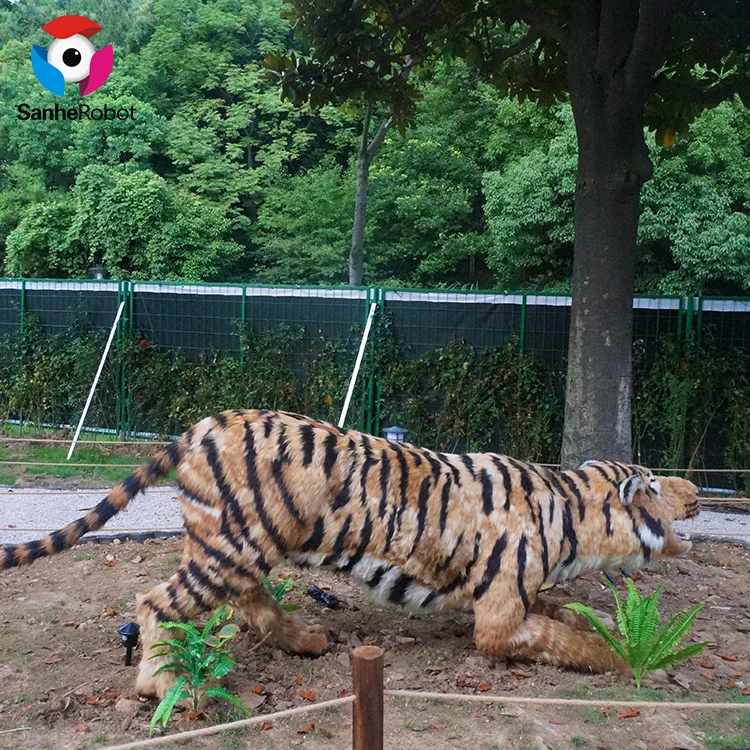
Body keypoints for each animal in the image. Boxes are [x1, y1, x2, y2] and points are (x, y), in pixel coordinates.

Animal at [0, 409, 700, 698]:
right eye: (657, 483)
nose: (696, 492)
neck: (572, 515)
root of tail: (203, 424)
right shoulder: (499, 620)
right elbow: (570, 640)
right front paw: (637, 663)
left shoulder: (528, 593)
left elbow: (575, 617)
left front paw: (622, 630)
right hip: (231, 547)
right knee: (156, 602)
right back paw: (165, 684)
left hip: (241, 547)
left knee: (248, 602)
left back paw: (307, 640)